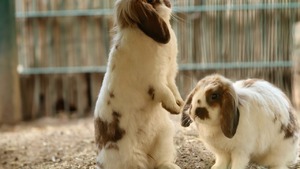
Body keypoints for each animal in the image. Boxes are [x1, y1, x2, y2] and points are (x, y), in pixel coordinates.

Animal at [94, 0, 183, 168]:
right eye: (153, 1)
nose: (169, 3)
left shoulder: (169, 76)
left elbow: (173, 89)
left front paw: (180, 104)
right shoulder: (155, 80)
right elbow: (165, 93)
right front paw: (174, 109)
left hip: (164, 137)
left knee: (160, 163)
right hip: (129, 157)